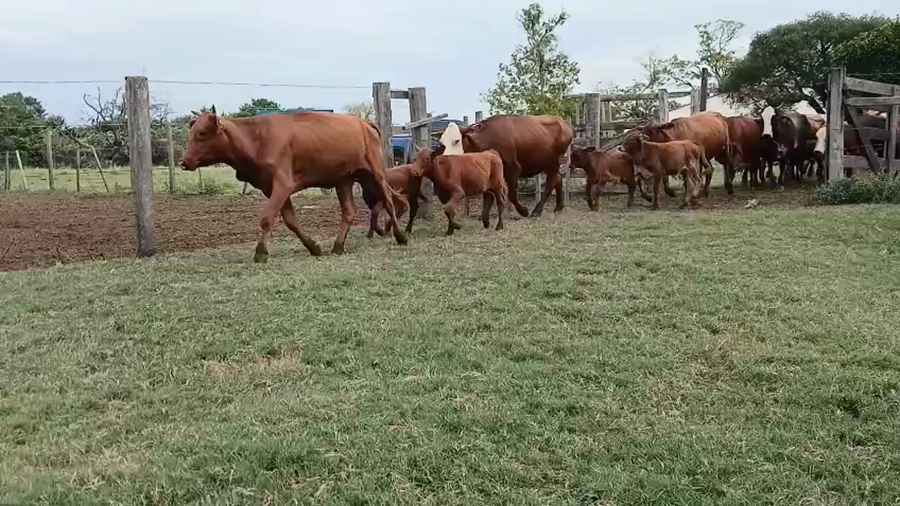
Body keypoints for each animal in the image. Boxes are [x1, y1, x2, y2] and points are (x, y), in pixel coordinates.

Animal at [180, 107, 408, 262]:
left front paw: (260, 252)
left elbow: (267, 218)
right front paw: (313, 247)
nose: (184, 162)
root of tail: (364, 123)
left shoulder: (282, 185)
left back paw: (400, 236)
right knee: (350, 211)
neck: (256, 138)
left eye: (202, 133)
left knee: (389, 201)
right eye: (191, 133)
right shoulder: (272, 189)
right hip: (344, 180)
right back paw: (338, 246)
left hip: (376, 174)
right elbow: (291, 221)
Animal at [434, 115, 573, 218]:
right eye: (442, 142)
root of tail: (564, 124)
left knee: (551, 183)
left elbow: (512, 194)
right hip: (547, 164)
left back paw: (537, 210)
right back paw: (558, 207)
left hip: (553, 163)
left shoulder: (513, 168)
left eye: (457, 140)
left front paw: (524, 211)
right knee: (558, 179)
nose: (445, 160)